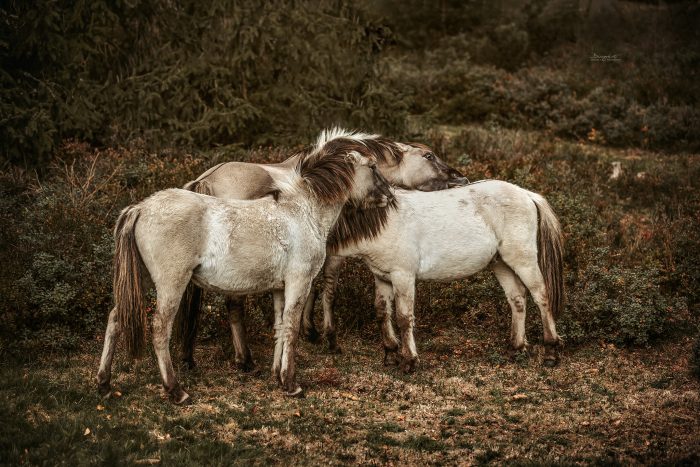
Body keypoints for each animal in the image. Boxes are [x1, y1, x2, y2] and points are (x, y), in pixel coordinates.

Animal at [95, 147, 396, 406]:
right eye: (372, 167)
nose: (391, 196)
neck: (303, 211)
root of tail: (141, 208)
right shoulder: (299, 283)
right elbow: (292, 328)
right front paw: (291, 384)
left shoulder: (279, 288)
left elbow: (279, 327)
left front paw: (277, 376)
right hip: (171, 284)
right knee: (159, 329)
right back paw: (175, 390)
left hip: (142, 280)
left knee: (115, 319)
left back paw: (104, 384)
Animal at [178, 128, 468, 370]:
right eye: (429, 155)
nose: (461, 178)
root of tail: (204, 181)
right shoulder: (334, 253)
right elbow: (329, 291)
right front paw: (330, 337)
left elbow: (312, 289)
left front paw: (310, 331)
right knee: (234, 304)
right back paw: (245, 360)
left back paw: (189, 358)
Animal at [326, 180, 568, 372]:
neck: (382, 222)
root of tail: (526, 194)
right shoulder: (382, 277)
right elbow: (382, 313)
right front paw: (391, 354)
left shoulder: (402, 276)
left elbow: (404, 317)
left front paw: (409, 361)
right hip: (501, 264)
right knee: (517, 299)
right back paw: (516, 349)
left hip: (522, 260)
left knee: (541, 296)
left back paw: (550, 352)